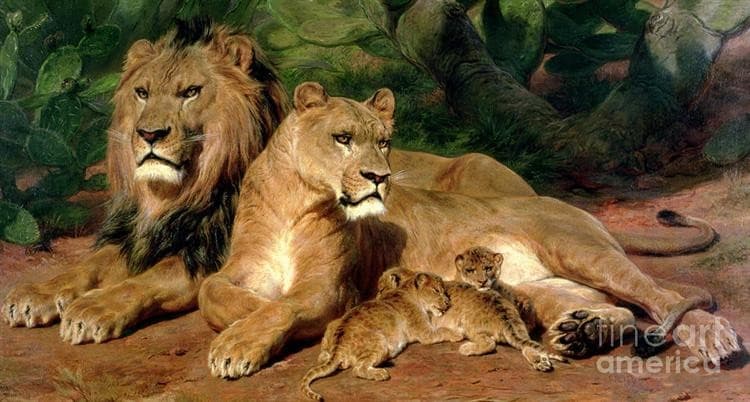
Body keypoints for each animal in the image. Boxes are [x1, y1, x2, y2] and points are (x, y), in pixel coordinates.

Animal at [199, 82, 740, 379]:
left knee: (663, 295)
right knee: (619, 308)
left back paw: (713, 337)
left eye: (385, 142)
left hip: (577, 250)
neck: (294, 198)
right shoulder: (240, 269)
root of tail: (572, 207)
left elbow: (284, 305)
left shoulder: (332, 286)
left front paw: (237, 344)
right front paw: (243, 320)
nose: (380, 177)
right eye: (343, 138)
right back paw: (583, 332)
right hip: (537, 288)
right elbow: (213, 292)